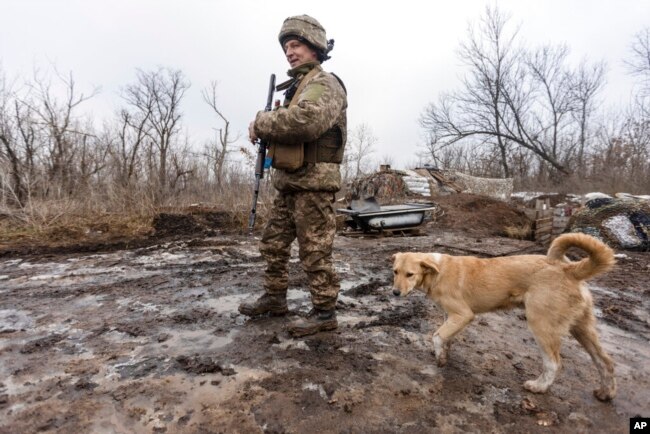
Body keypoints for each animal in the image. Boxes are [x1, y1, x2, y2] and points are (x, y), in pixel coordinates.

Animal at [392, 234, 616, 400]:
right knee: (604, 361)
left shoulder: (463, 314)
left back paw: (538, 386)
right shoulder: (451, 316)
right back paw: (606, 393)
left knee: (554, 363)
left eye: (410, 274)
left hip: (541, 325)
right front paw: (445, 355)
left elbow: (437, 336)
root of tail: (569, 268)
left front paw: (439, 358)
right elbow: (446, 337)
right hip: (582, 327)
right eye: (395, 272)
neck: (437, 271)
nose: (394, 293)